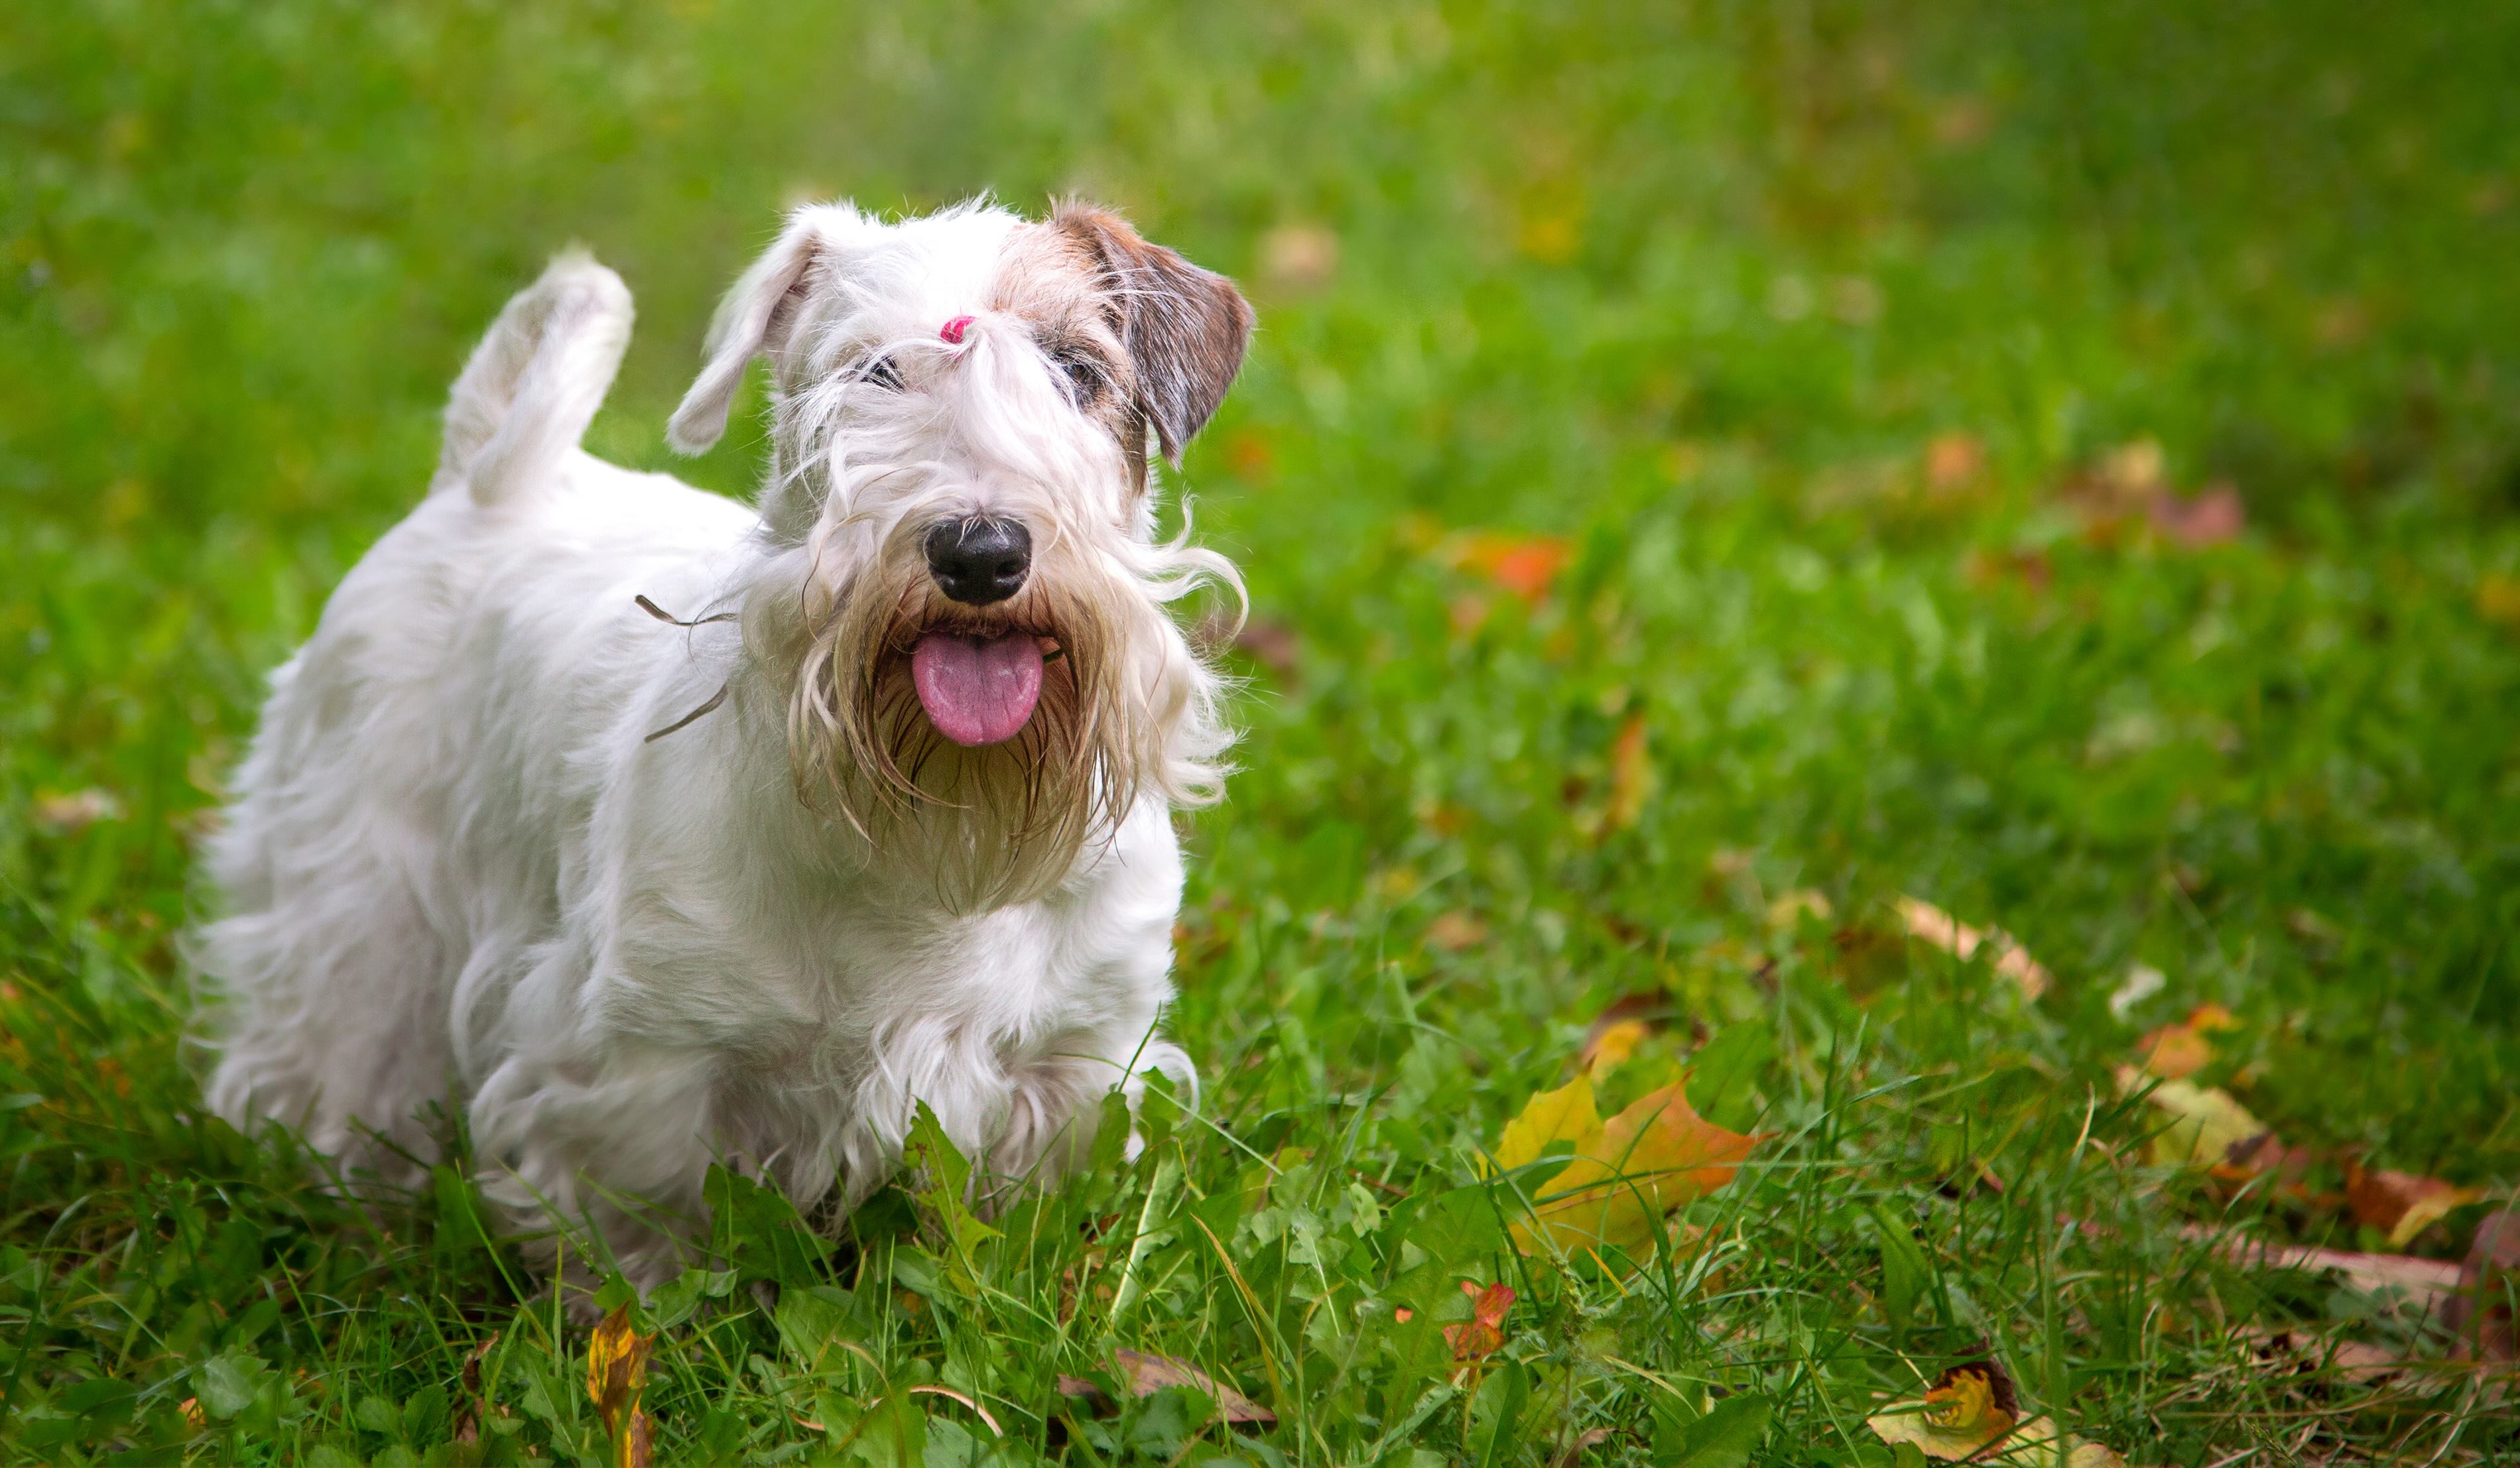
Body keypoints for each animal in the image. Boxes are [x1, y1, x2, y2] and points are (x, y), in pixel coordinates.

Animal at [194, 201, 1249, 1289]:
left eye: (1076, 369)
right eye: (873, 372)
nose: (980, 551)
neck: (925, 834)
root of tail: (484, 482)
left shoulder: (1074, 1061)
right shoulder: (643, 1064)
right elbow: (643, 1239)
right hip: (360, 909)